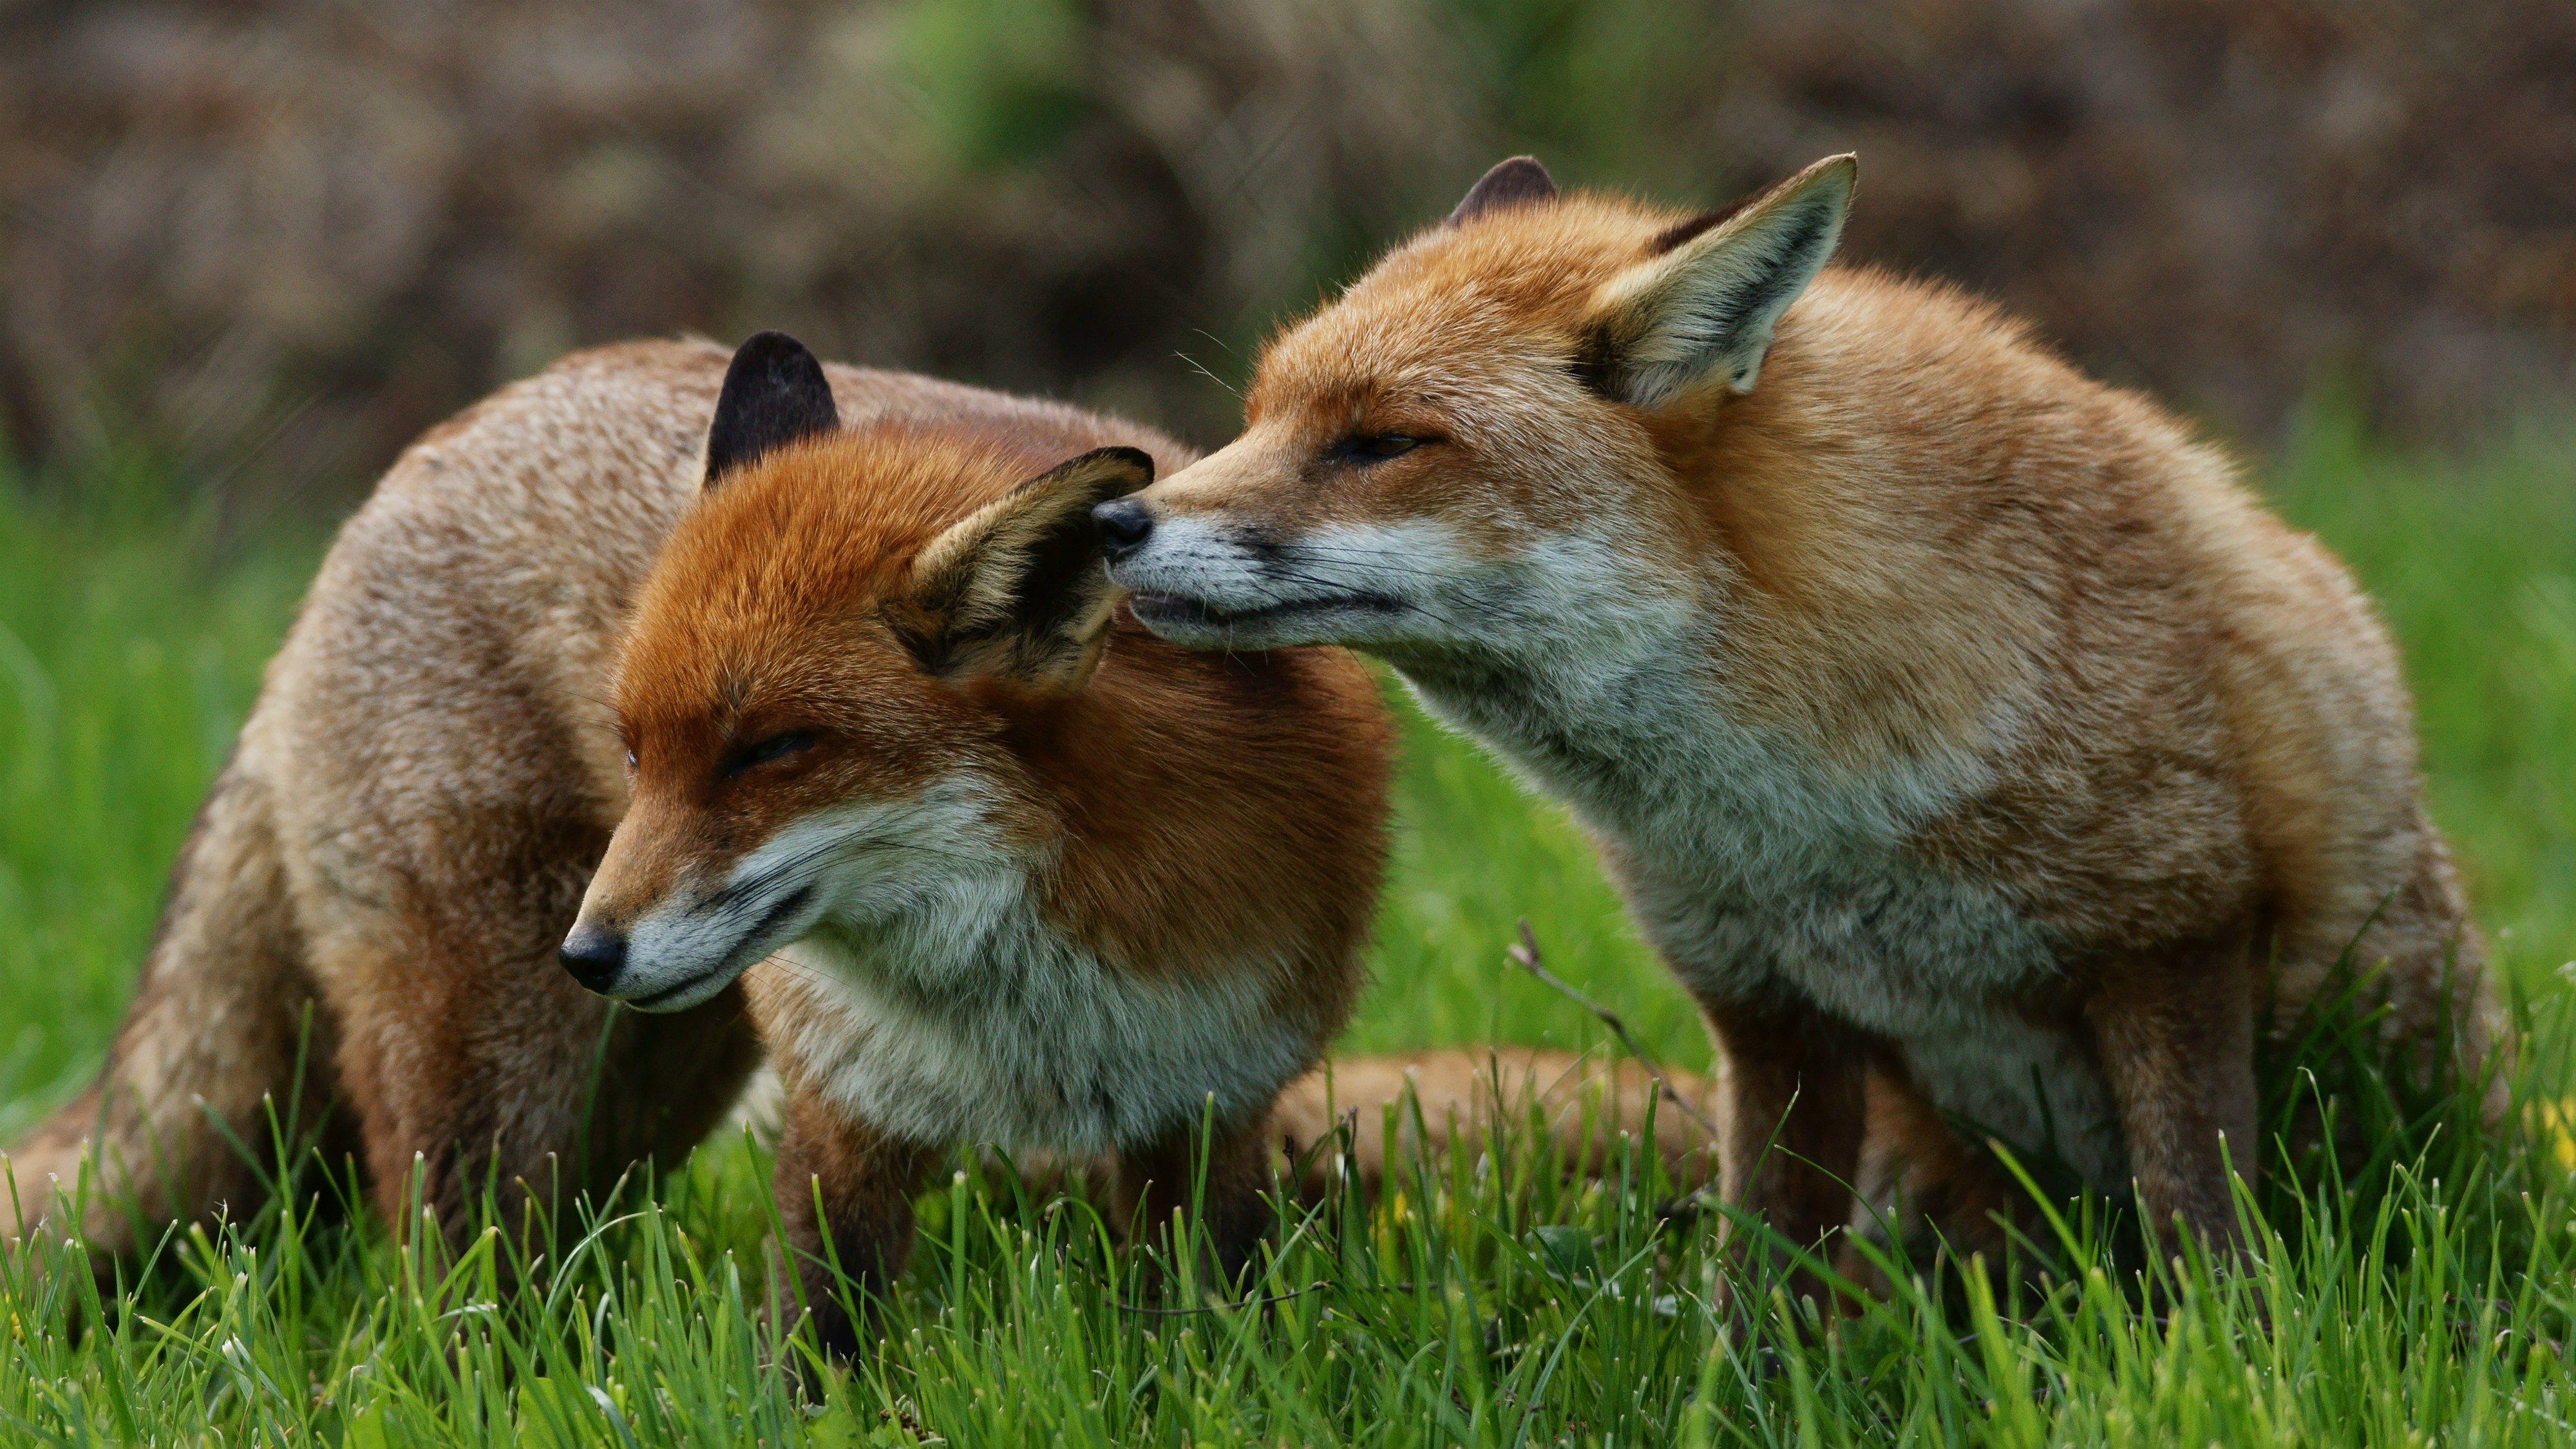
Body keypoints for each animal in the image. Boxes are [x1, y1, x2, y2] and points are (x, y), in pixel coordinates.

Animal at [3, 333, 1389, 1353]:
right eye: (635, 754)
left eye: (769, 752)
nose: (591, 954)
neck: (1037, 1014)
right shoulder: (844, 1114)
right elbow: (818, 1344)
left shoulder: (1207, 1107)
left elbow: (1193, 1339)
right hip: (498, 1071)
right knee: (445, 1292)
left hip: (647, 1087)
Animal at [1094, 153, 2509, 1286]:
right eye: (1258, 417)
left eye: (1381, 443)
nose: (1112, 519)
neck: (1800, 819)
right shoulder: (1766, 1006)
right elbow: (1759, 1285)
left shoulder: (2172, 924)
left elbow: (2199, 1229)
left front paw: (2223, 1357)